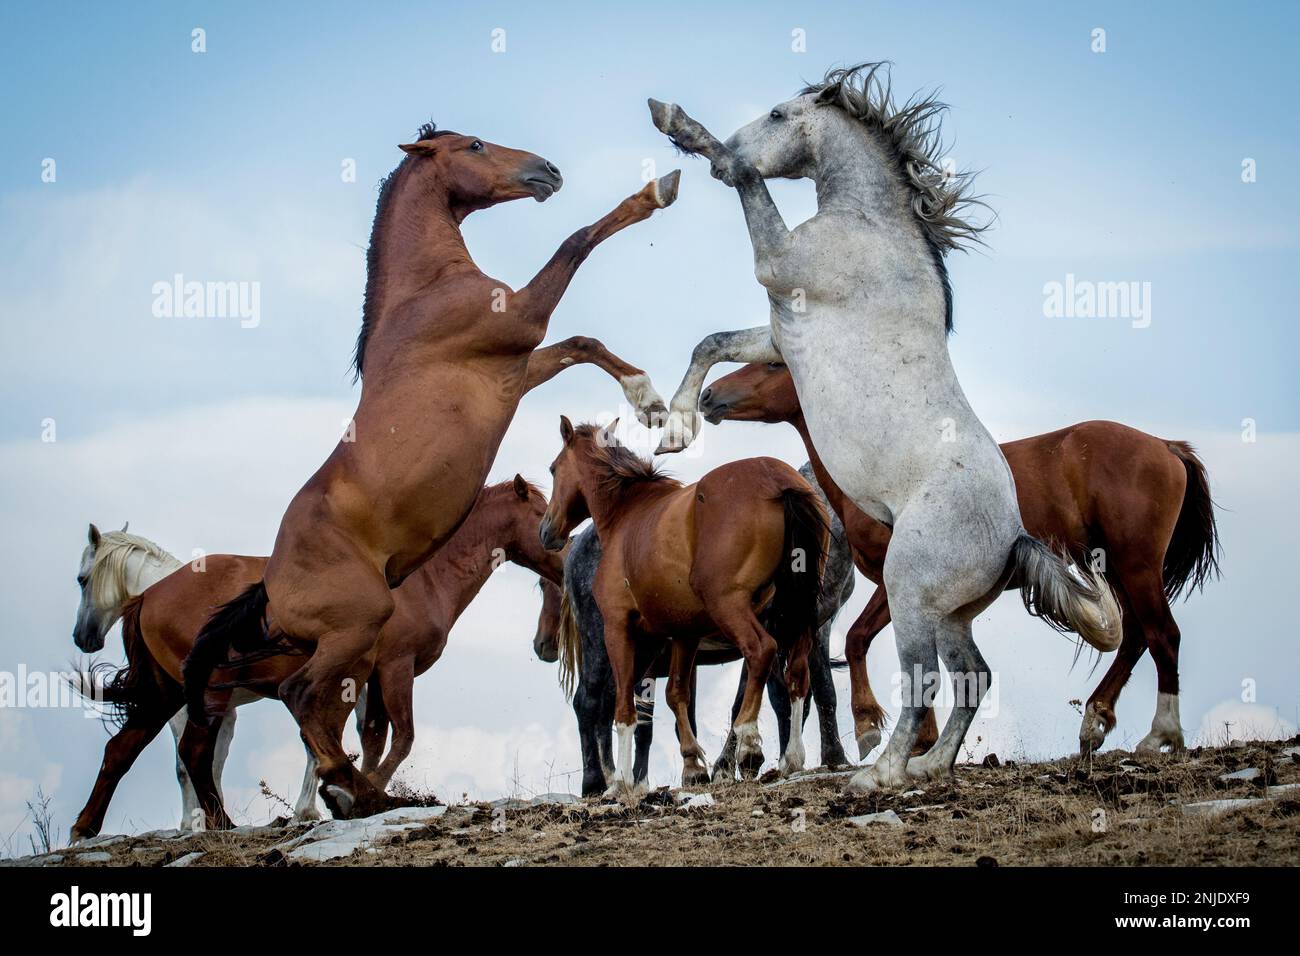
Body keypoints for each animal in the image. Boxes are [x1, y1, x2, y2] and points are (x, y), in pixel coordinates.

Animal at [70, 478, 563, 839]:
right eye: (542, 512)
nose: (84, 636)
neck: (421, 578)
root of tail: (149, 594)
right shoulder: (395, 668)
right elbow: (399, 738)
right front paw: (359, 794)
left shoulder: (368, 680)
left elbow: (370, 739)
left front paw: (352, 794)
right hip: (205, 695)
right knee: (192, 752)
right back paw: (221, 823)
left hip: (166, 692)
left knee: (123, 750)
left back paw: (86, 827)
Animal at [183, 121, 679, 819]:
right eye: (473, 146)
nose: (548, 172)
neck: (424, 295)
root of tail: (272, 588)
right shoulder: (521, 321)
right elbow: (577, 242)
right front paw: (656, 193)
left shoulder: (520, 364)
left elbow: (582, 343)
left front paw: (651, 404)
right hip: (357, 631)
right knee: (301, 701)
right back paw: (359, 792)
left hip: (347, 654)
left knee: (315, 717)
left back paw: (354, 792)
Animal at [538, 418, 828, 796]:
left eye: (553, 468)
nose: (546, 530)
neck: (626, 515)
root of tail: (779, 481)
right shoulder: (683, 633)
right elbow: (676, 696)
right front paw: (692, 767)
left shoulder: (620, 628)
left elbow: (624, 707)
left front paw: (624, 783)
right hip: (797, 612)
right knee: (797, 672)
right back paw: (792, 757)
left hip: (730, 607)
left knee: (761, 651)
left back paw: (748, 744)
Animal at [647, 62, 1121, 792]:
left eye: (779, 115)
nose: (729, 150)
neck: (871, 227)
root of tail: (1012, 536)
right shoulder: (778, 332)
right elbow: (711, 343)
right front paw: (673, 427)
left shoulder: (778, 266)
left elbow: (752, 193)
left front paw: (690, 132)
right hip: (950, 612)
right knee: (972, 678)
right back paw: (928, 764)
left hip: (909, 593)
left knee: (924, 681)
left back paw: (882, 771)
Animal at [700, 361, 1222, 756]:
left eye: (772, 366)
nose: (709, 395)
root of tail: (1165, 446)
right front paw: (923, 739)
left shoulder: (898, 586)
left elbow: (858, 641)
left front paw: (872, 726)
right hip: (1116, 571)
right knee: (1135, 636)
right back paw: (1095, 722)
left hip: (1136, 567)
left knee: (1162, 635)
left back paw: (1158, 736)